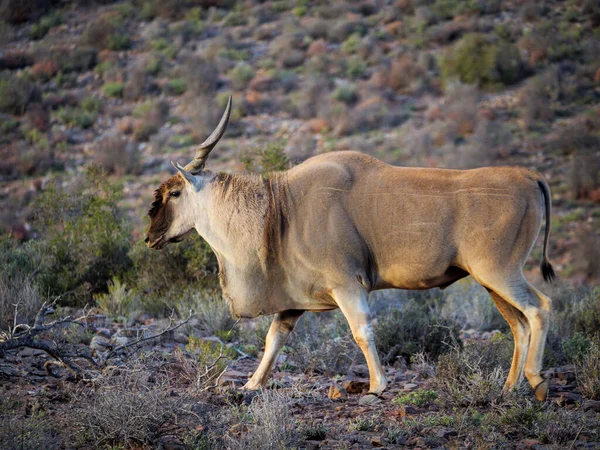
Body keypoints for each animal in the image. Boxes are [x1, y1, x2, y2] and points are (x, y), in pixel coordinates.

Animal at [144, 96, 552, 404]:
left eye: (175, 193)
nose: (150, 237)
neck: (281, 208)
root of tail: (529, 176)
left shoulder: (347, 285)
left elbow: (361, 331)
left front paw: (376, 387)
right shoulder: (294, 302)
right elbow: (273, 339)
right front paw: (250, 385)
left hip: (499, 272)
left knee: (539, 308)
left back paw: (537, 382)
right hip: (489, 281)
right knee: (517, 324)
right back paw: (509, 388)